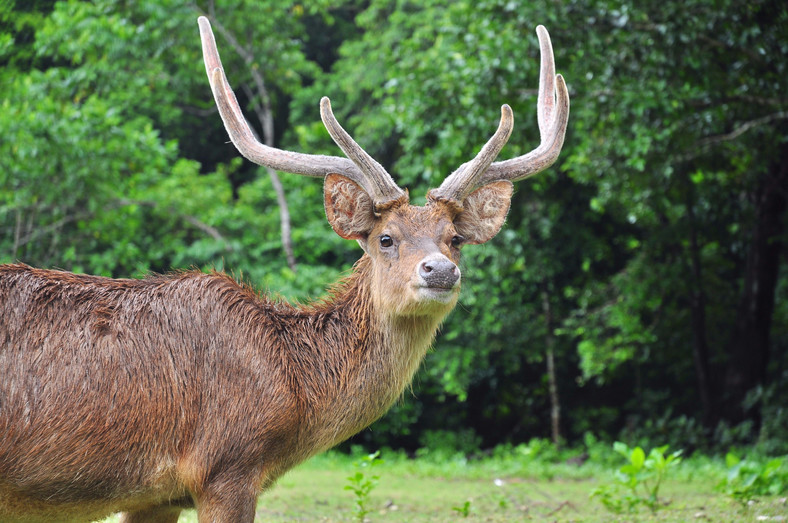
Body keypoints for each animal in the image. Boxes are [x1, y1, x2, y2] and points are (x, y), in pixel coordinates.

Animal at [0, 16, 568, 523]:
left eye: (455, 239)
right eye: (385, 238)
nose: (440, 271)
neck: (292, 389)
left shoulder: (155, 495)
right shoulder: (225, 466)